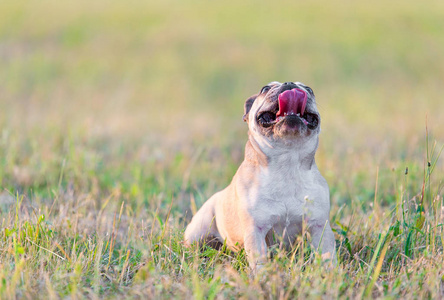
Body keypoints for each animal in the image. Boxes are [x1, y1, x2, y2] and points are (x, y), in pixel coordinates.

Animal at [185, 81, 336, 270]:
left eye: (309, 89)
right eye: (265, 89)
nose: (289, 84)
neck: (287, 163)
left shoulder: (319, 227)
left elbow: (327, 254)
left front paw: (329, 272)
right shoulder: (255, 231)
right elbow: (260, 260)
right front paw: (262, 275)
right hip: (198, 230)